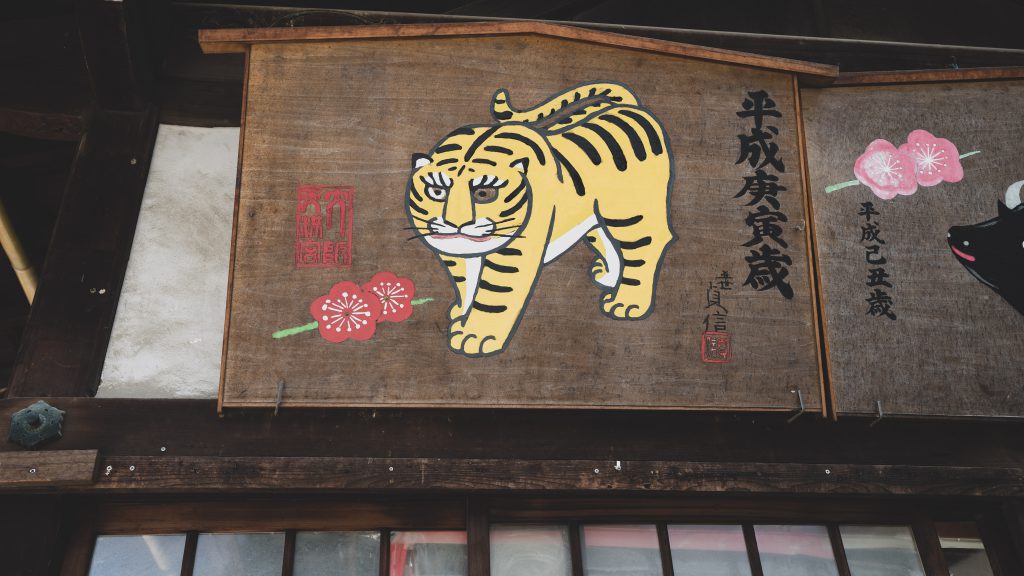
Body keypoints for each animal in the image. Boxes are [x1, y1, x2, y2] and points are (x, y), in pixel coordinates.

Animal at [403, 79, 675, 354]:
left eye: (484, 193)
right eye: (437, 191)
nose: (456, 223)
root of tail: (629, 106)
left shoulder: (513, 254)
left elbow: (494, 296)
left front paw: (476, 336)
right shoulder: (457, 255)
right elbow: (466, 284)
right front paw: (462, 314)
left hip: (630, 212)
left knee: (644, 248)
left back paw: (628, 304)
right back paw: (609, 278)